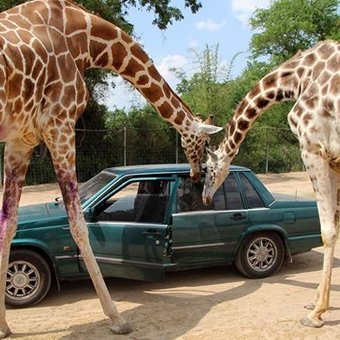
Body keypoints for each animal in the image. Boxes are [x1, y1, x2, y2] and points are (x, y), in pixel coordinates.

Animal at [0, 0, 223, 338]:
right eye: (202, 143)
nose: (196, 175)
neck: (88, 40)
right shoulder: (60, 125)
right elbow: (78, 224)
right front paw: (117, 318)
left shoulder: (20, 139)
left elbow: (9, 224)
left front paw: (4, 326)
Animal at [202, 39, 340, 326]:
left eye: (209, 169)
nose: (205, 197)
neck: (298, 77)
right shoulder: (334, 159)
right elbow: (335, 225)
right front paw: (316, 302)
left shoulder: (314, 148)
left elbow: (327, 231)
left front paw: (316, 313)